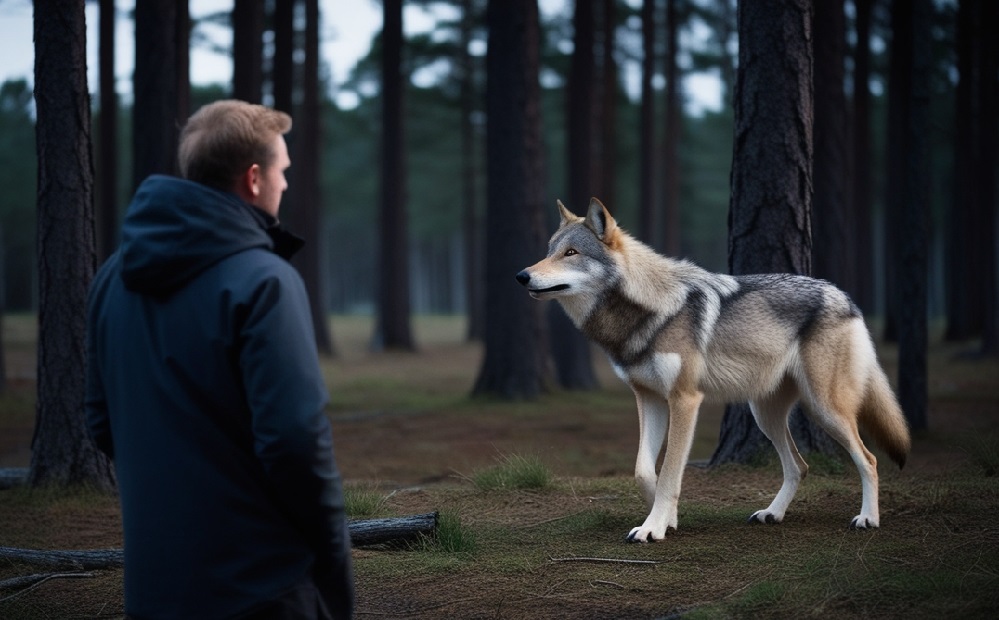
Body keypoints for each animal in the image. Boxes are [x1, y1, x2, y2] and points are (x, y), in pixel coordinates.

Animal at [520, 199, 912, 544]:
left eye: (571, 253)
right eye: (550, 250)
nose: (522, 275)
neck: (646, 312)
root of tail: (844, 295)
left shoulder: (685, 400)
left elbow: (670, 474)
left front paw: (653, 528)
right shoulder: (649, 399)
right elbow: (645, 471)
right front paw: (666, 520)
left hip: (825, 409)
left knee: (869, 459)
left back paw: (868, 518)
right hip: (765, 415)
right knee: (799, 466)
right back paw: (772, 513)